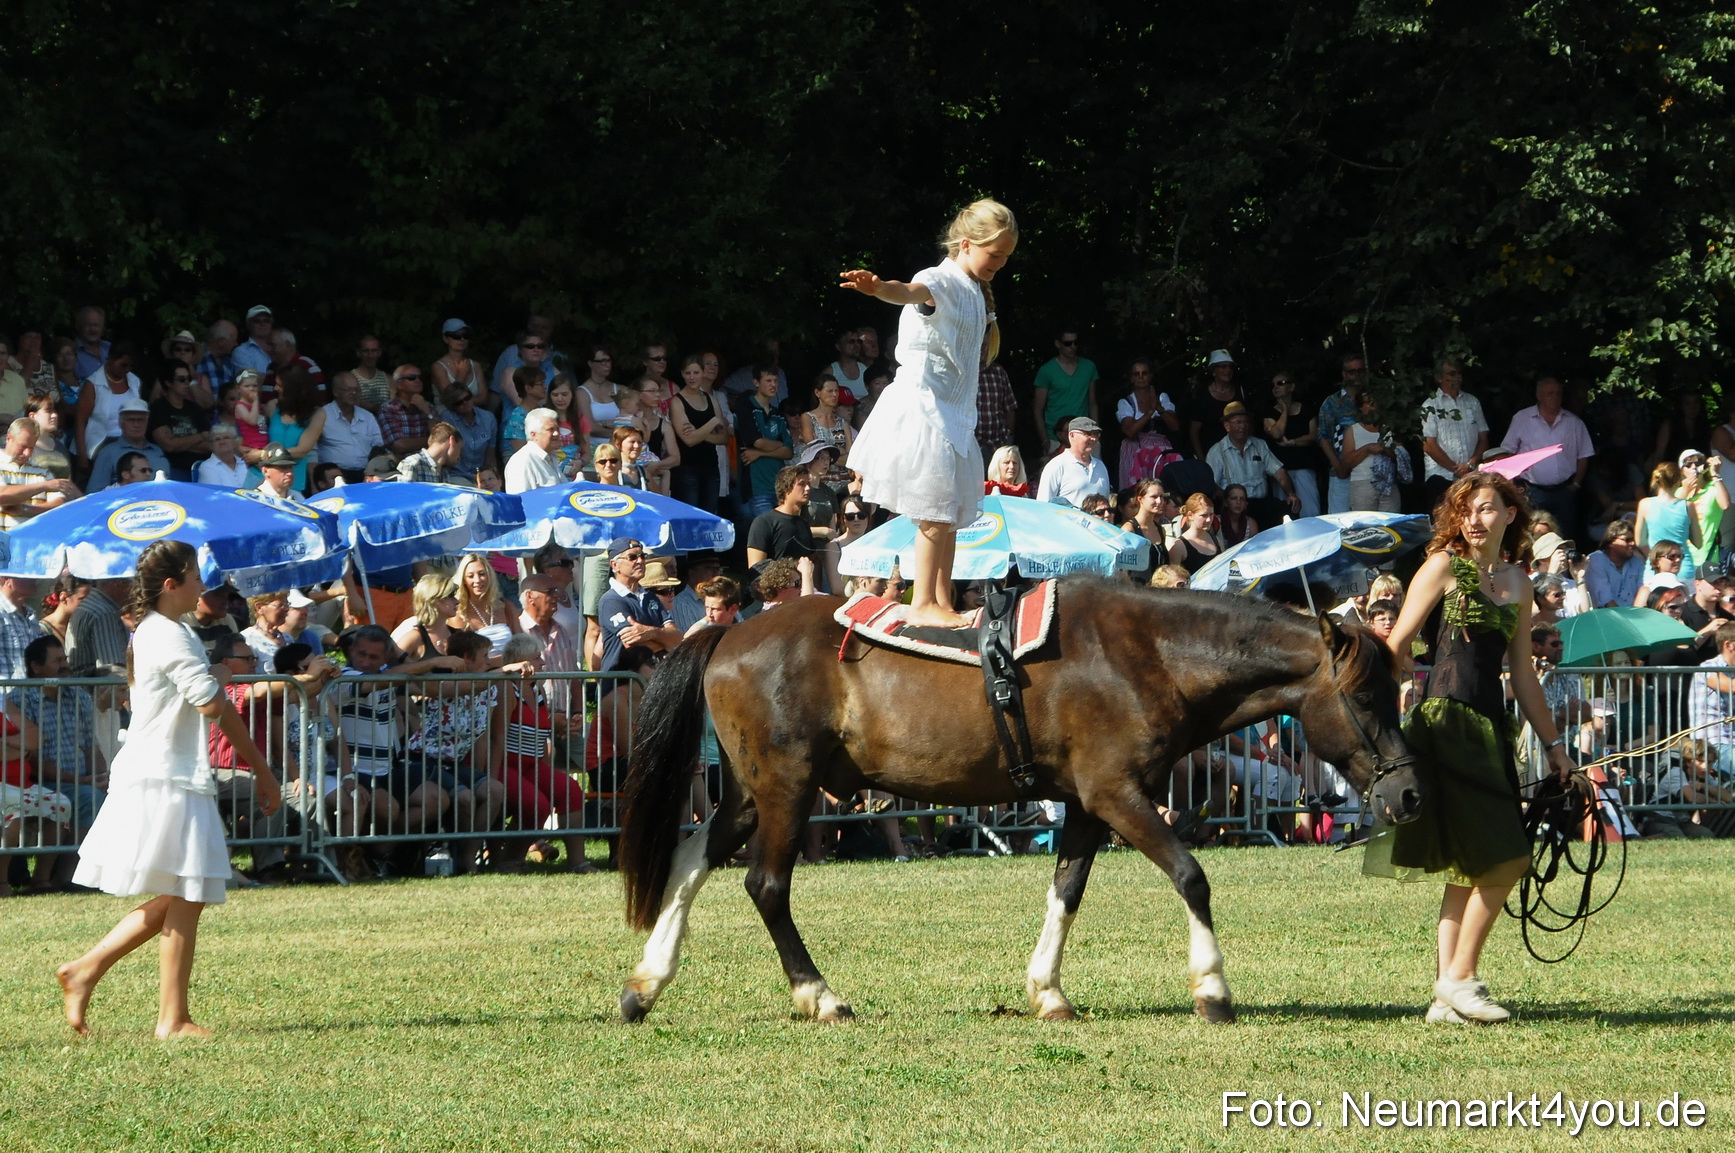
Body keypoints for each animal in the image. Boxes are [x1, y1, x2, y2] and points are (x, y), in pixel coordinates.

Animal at [617, 579, 1421, 1024]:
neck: (1150, 655)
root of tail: (728, 634)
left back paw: (645, 985)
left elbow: (1066, 891)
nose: (1409, 792)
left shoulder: (1088, 804)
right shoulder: (1118, 795)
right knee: (766, 885)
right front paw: (1213, 988)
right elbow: (1191, 876)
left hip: (752, 793)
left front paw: (1047, 992)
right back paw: (819, 994)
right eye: (1365, 698)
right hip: (787, 788)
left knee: (689, 862)